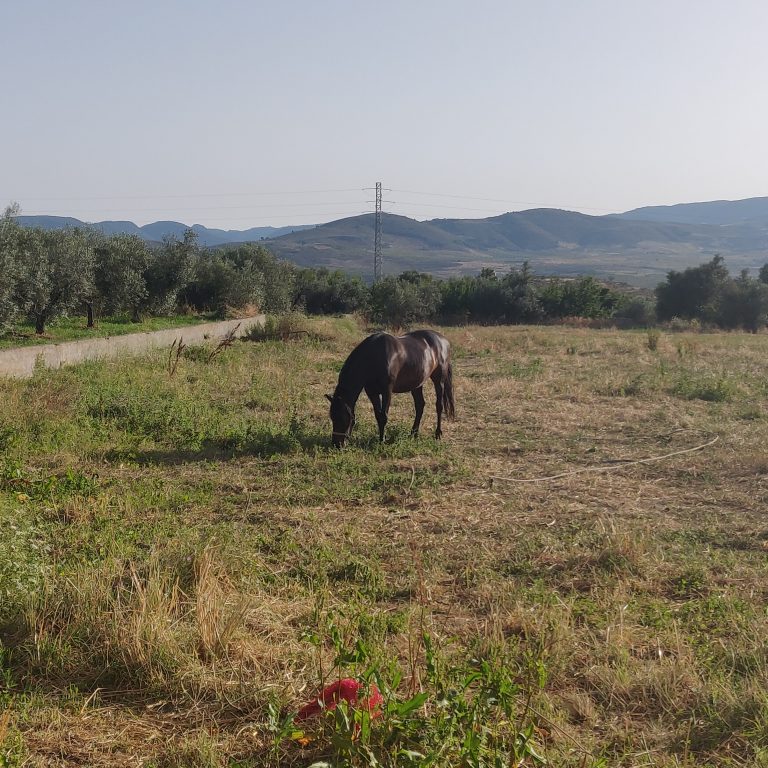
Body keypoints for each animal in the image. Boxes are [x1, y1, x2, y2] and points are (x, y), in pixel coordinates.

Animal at [326, 328, 456, 448]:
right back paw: (413, 434)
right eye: (332, 417)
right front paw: (381, 438)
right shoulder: (372, 392)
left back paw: (438, 434)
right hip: (416, 384)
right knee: (420, 406)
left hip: (439, 381)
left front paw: (382, 441)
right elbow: (378, 415)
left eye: (343, 418)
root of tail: (444, 341)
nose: (336, 444)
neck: (373, 357)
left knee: (439, 406)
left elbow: (384, 416)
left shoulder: (387, 391)